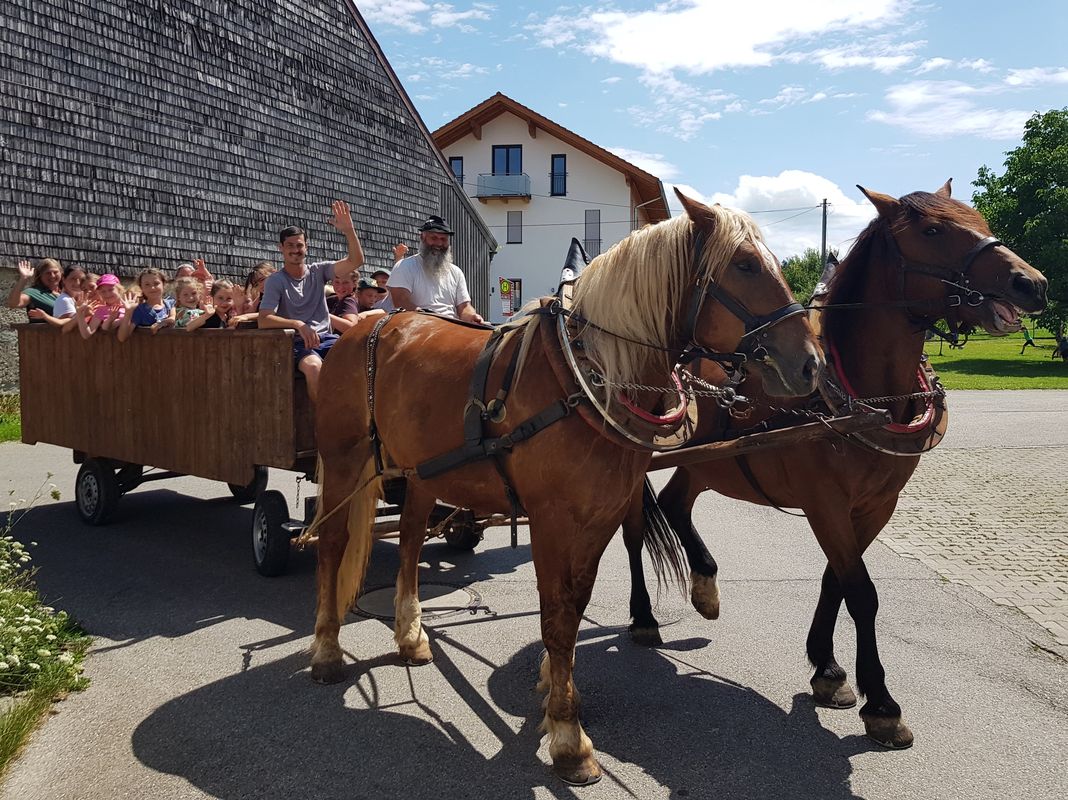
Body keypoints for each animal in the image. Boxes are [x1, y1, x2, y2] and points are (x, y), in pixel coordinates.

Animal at [309, 192, 824, 781]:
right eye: (744, 265)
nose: (811, 365)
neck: (583, 380)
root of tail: (370, 325)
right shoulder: (552, 521)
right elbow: (555, 621)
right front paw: (567, 736)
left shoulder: (598, 518)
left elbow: (573, 613)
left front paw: (561, 702)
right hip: (344, 461)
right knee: (332, 543)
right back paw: (326, 651)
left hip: (421, 472)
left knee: (413, 540)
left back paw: (411, 635)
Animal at [623, 180, 1046, 747]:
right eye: (933, 230)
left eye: (978, 217)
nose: (1033, 284)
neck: (860, 392)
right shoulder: (826, 504)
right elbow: (861, 592)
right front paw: (881, 702)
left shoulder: (875, 506)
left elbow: (836, 581)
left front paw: (827, 670)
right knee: (632, 531)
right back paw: (644, 617)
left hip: (711, 463)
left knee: (674, 504)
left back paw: (706, 584)